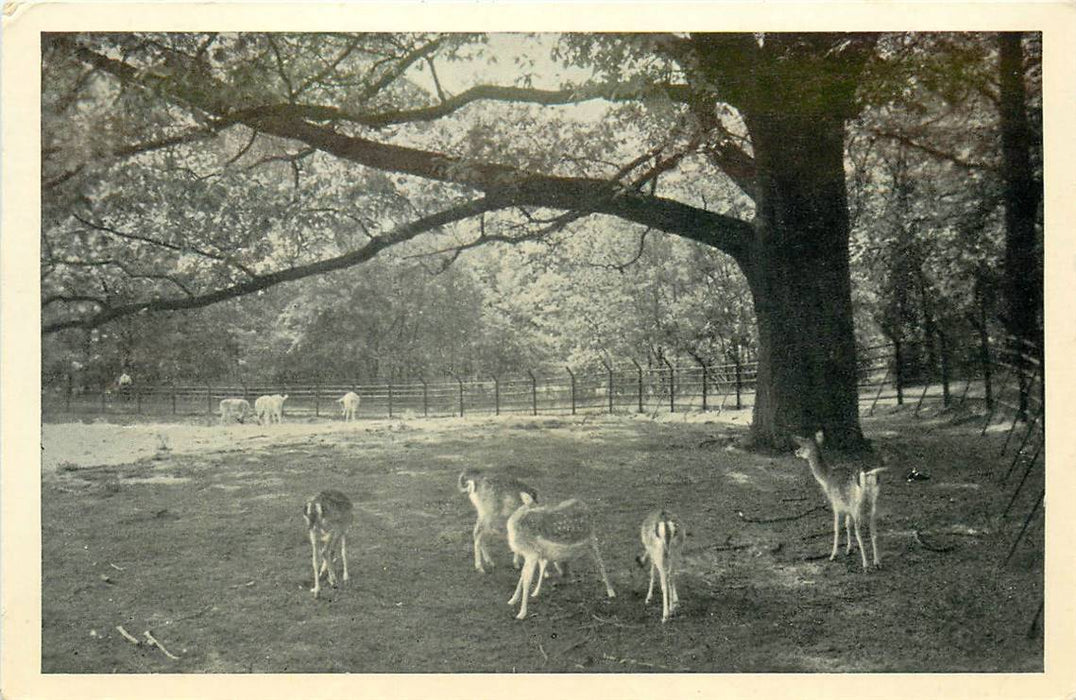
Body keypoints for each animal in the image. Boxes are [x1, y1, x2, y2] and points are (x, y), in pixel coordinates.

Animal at [503, 494, 615, 623]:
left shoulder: (532, 553)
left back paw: (611, 592)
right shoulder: (531, 554)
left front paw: (521, 614)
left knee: (600, 563)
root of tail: (583, 505)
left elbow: (526, 580)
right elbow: (522, 575)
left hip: (592, 539)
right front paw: (512, 600)